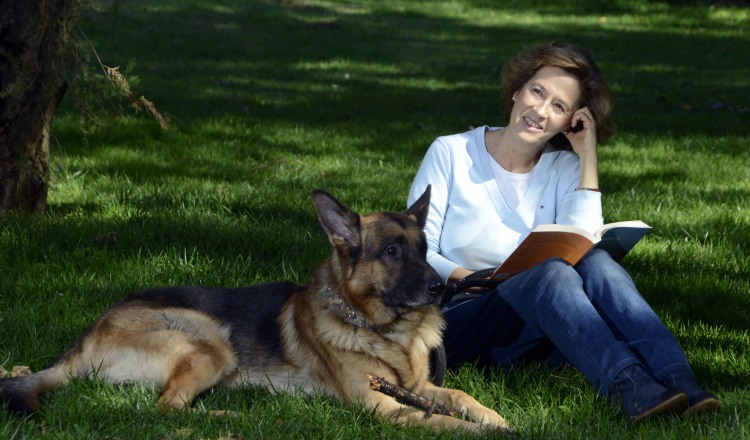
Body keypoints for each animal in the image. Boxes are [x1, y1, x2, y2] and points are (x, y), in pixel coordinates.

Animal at [0, 186, 512, 434]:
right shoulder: (381, 406)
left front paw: (495, 418)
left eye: (424, 250)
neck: (381, 329)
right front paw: (481, 432)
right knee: (168, 408)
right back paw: (236, 417)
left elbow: (461, 398)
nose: (440, 288)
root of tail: (81, 343)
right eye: (391, 252)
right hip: (210, 339)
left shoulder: (420, 386)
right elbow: (437, 419)